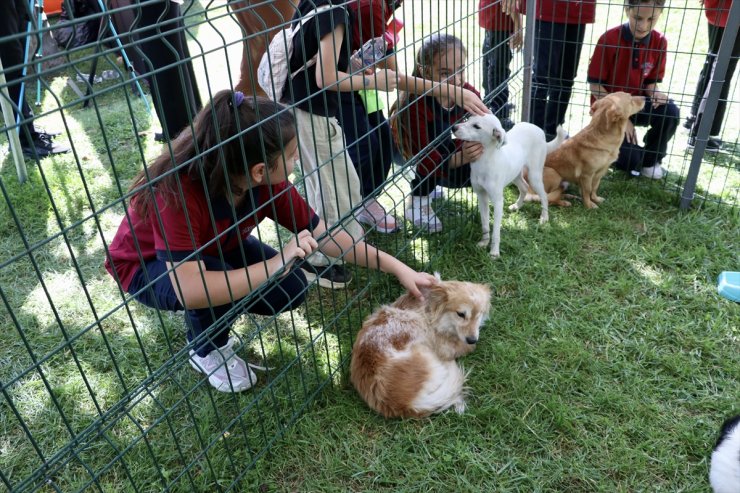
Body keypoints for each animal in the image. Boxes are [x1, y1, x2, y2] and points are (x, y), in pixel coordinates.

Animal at [352, 274, 492, 418]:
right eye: (461, 314)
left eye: (479, 314)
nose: (472, 340)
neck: (429, 309)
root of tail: (406, 404)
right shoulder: (444, 347)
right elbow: (462, 347)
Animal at [448, 113, 564, 256]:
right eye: (468, 119)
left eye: (476, 126)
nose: (453, 128)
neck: (484, 161)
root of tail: (539, 129)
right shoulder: (481, 197)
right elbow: (485, 224)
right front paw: (484, 243)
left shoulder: (498, 201)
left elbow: (496, 231)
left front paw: (494, 252)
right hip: (515, 174)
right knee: (524, 187)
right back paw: (517, 206)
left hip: (534, 175)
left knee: (544, 195)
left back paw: (544, 217)